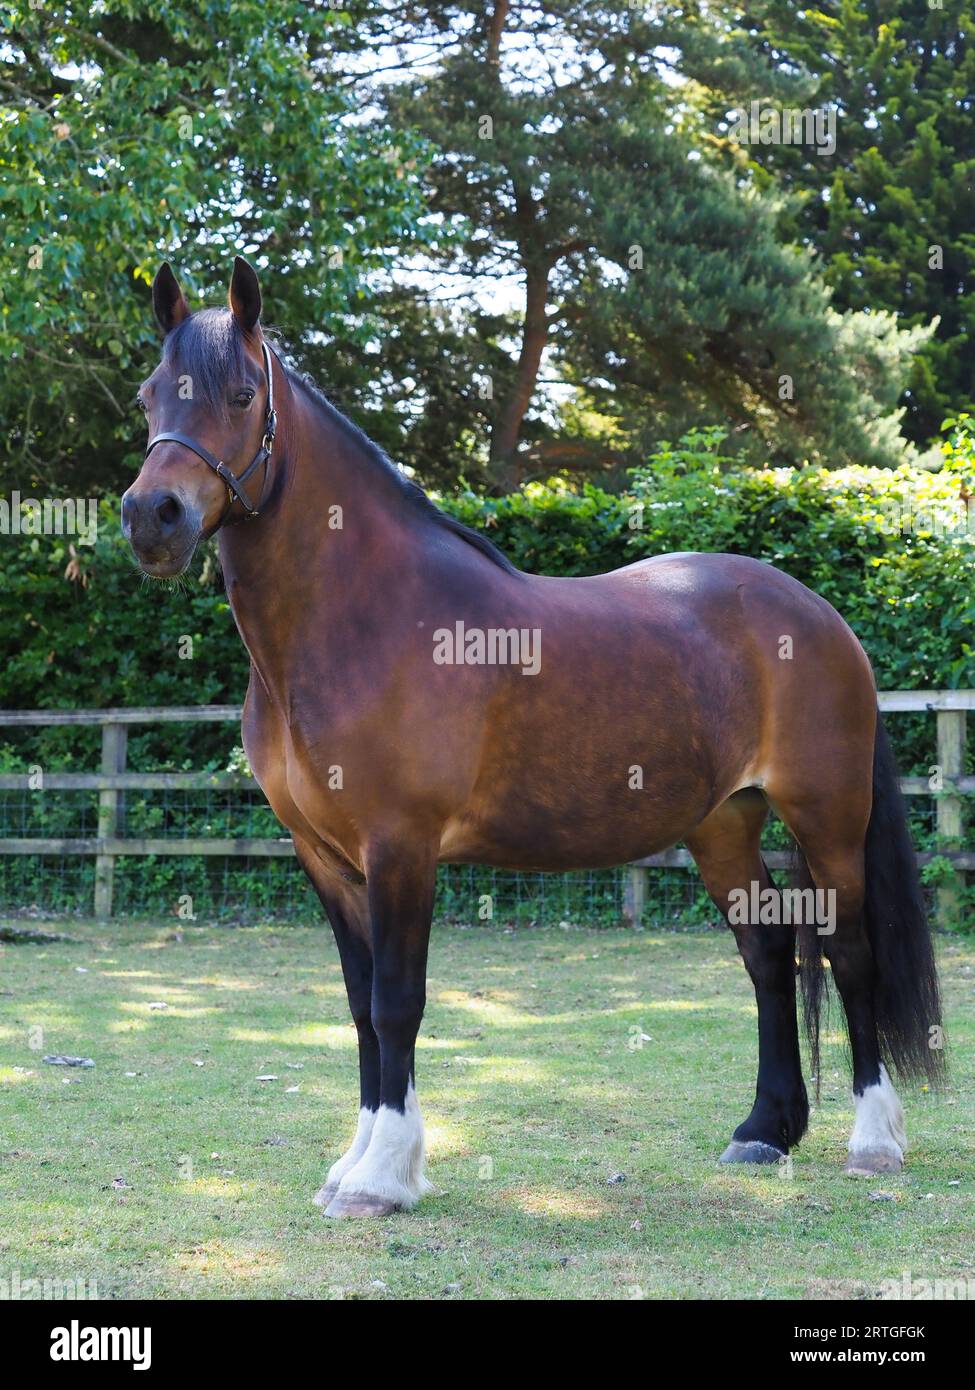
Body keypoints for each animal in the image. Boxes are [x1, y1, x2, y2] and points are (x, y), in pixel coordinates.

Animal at [118, 261, 940, 1217]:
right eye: (147, 397)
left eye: (243, 395)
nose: (153, 517)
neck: (363, 618)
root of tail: (818, 615)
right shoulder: (324, 856)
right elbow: (360, 1007)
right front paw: (353, 1164)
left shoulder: (401, 848)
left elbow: (397, 1002)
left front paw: (383, 1177)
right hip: (723, 823)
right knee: (767, 952)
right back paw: (762, 1131)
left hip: (825, 818)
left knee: (850, 956)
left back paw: (873, 1141)